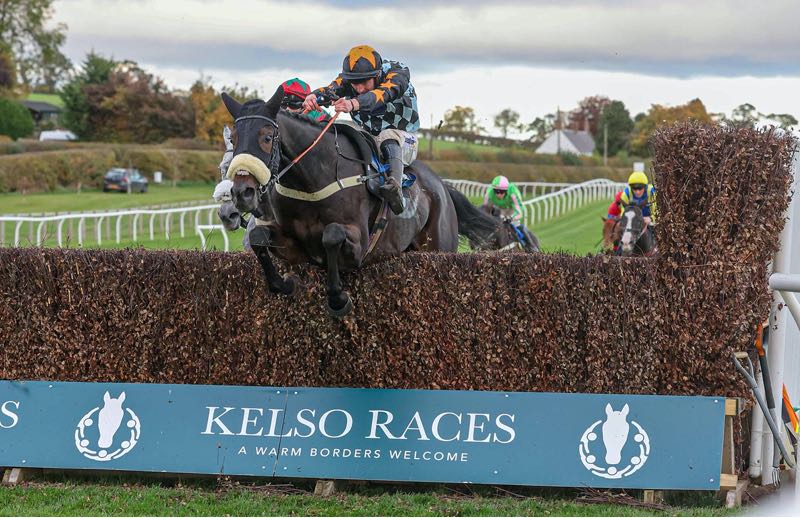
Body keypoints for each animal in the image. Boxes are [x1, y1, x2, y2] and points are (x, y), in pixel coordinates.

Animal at [222, 87, 498, 316]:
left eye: (267, 138)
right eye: (233, 139)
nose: (242, 193)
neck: (312, 179)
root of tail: (442, 186)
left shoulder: (359, 243)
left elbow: (331, 235)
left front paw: (338, 299)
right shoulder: (293, 246)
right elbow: (258, 238)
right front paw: (285, 283)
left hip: (440, 246)